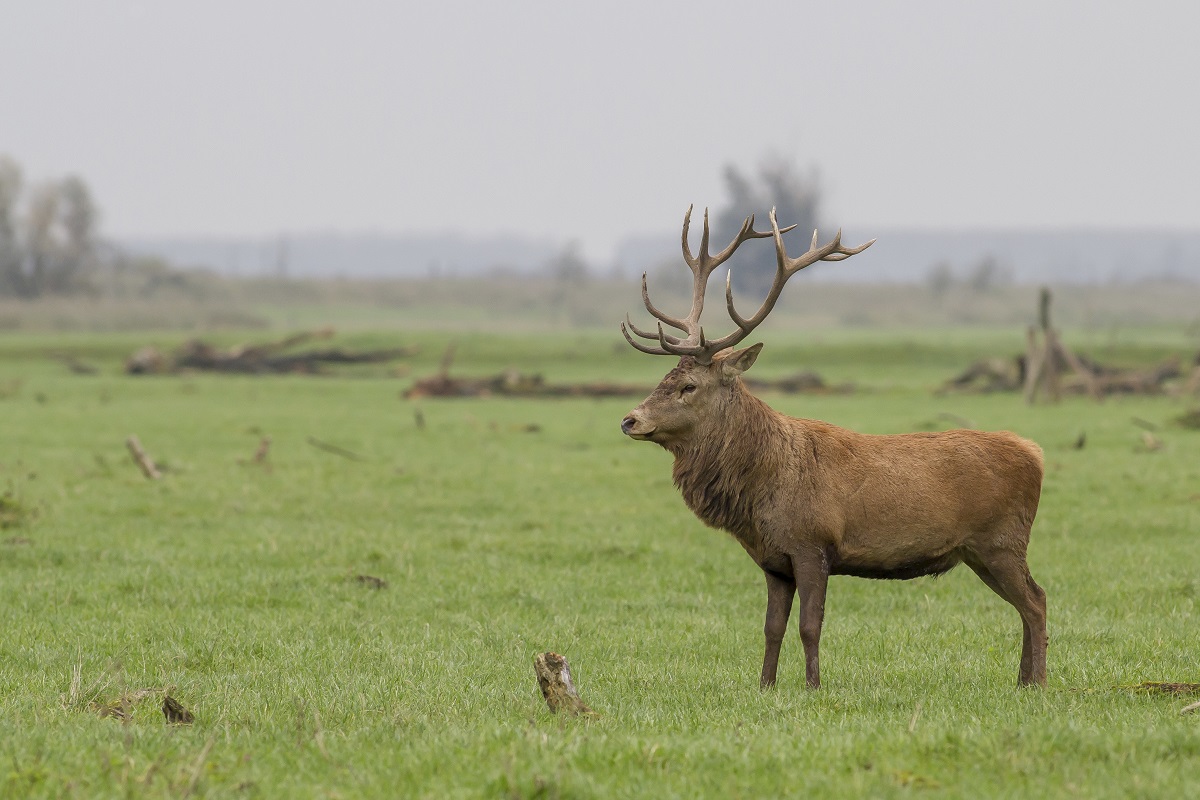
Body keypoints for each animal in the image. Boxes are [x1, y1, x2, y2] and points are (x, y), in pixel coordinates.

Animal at [624, 206, 1046, 690]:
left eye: (688, 386)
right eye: (664, 379)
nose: (630, 419)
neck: (761, 490)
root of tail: (1035, 452)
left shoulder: (814, 543)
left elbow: (811, 625)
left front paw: (813, 686)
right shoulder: (773, 560)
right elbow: (771, 627)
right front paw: (765, 687)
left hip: (1003, 539)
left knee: (1036, 601)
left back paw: (1038, 682)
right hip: (981, 552)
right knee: (1028, 603)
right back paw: (1023, 680)